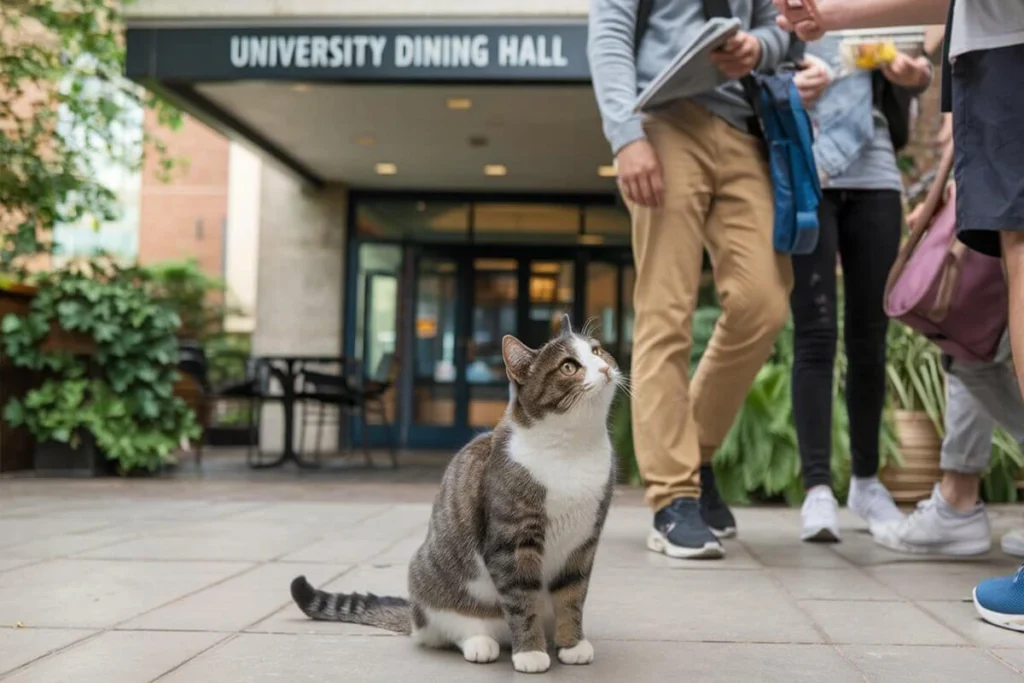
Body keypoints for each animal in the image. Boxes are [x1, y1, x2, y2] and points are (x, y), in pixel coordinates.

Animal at [292, 315, 618, 671]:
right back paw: (481, 643)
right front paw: (531, 653)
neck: (573, 449)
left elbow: (572, 597)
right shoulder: (511, 543)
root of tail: (414, 616)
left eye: (597, 351)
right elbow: (522, 601)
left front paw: (572, 644)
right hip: (434, 587)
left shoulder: (584, 542)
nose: (604, 367)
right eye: (569, 367)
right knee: (449, 631)